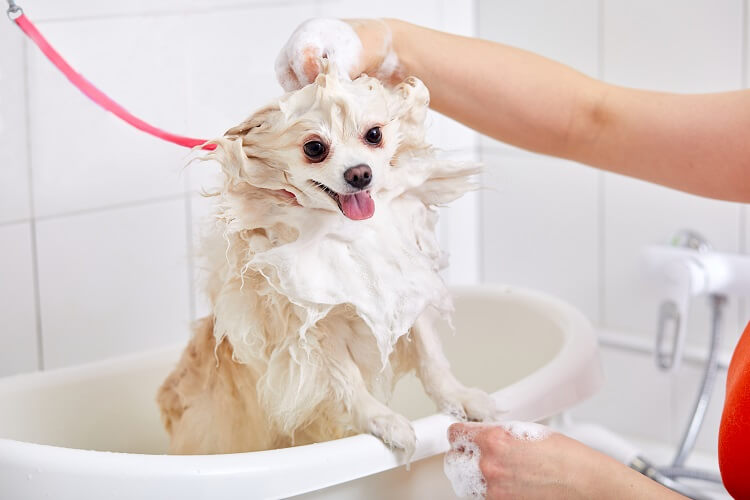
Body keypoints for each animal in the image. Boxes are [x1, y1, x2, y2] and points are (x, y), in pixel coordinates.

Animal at [158, 62, 500, 458]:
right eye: (315, 148)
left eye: (374, 135)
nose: (360, 173)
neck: (346, 232)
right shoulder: (313, 325)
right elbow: (345, 379)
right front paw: (382, 420)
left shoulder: (401, 292)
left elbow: (432, 358)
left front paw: (461, 397)